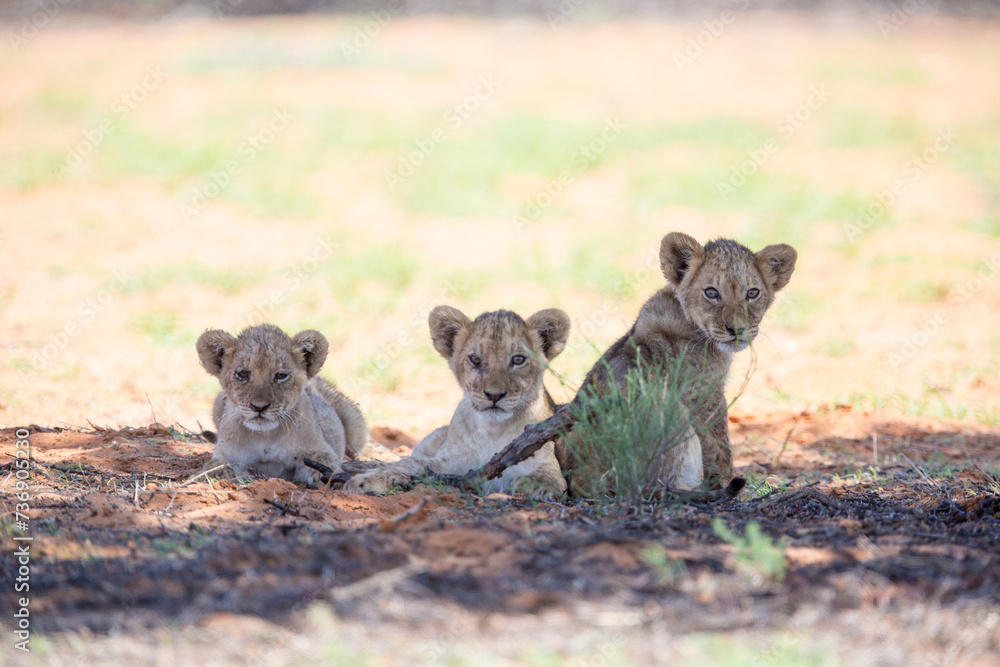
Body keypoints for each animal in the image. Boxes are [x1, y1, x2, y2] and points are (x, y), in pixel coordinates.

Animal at [195, 324, 391, 486]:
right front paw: (224, 473)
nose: (259, 407)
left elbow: (325, 460)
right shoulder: (227, 453)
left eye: (281, 375)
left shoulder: (317, 448)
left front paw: (322, 475)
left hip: (354, 424)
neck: (266, 436)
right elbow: (215, 466)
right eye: (243, 374)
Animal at [344, 307, 571, 499]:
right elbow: (409, 464)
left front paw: (537, 486)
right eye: (475, 360)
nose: (494, 395)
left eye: (518, 360)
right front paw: (366, 481)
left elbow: (548, 475)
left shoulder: (543, 457)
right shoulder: (448, 462)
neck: (493, 429)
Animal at [479, 232, 797, 493]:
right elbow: (720, 445)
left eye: (752, 293)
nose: (737, 330)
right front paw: (734, 484)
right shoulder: (703, 392)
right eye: (711, 293)